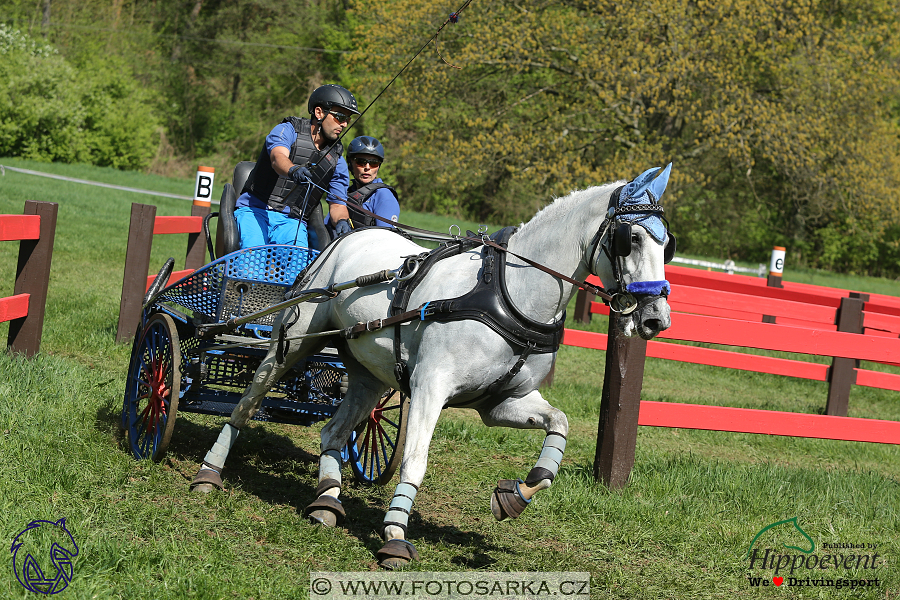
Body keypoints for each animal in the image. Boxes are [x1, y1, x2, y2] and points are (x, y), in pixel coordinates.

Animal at [193, 164, 672, 568]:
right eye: (631, 238)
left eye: (667, 243)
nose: (656, 318)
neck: (510, 292)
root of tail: (345, 239)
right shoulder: (429, 389)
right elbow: (416, 461)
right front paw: (395, 535)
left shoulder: (502, 402)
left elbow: (560, 423)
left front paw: (518, 493)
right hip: (292, 342)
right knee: (248, 402)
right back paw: (209, 473)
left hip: (367, 373)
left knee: (334, 431)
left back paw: (327, 502)